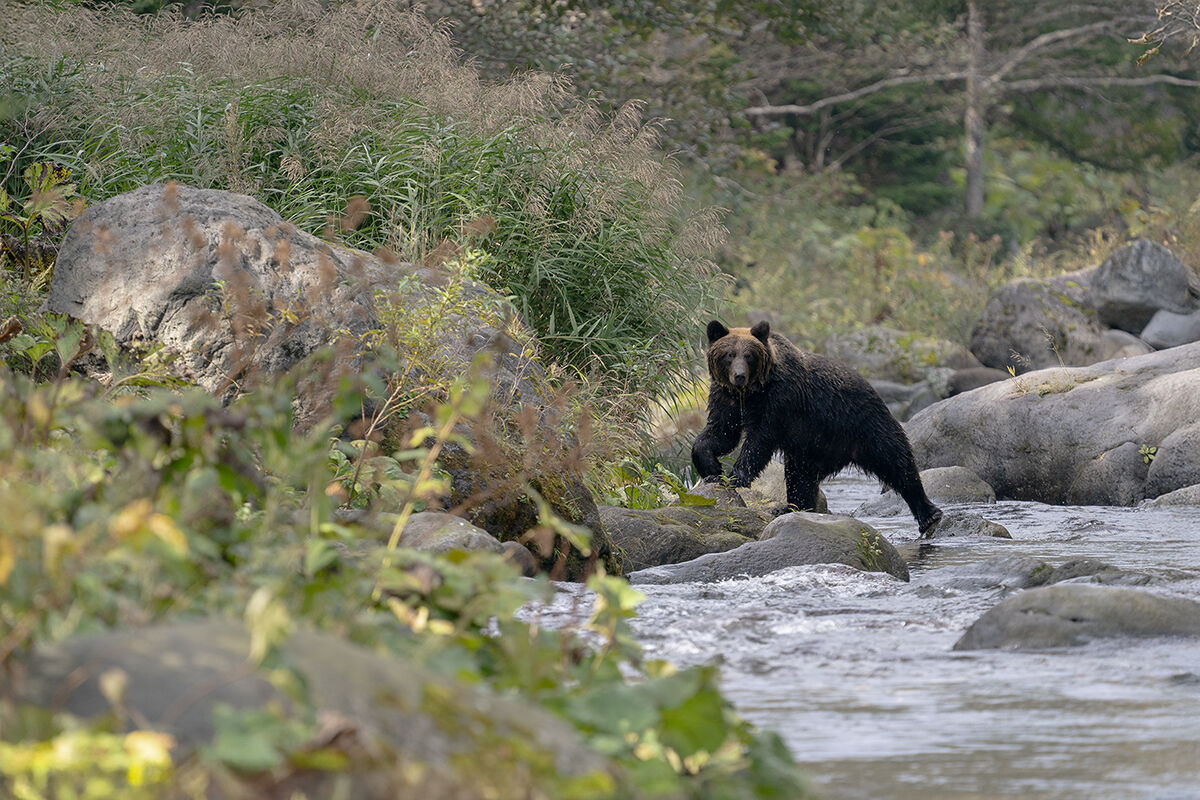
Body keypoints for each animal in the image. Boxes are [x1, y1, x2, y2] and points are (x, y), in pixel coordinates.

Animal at [691, 319, 943, 535]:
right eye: (729, 354)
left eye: (749, 355)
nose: (739, 376)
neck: (750, 393)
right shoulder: (726, 398)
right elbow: (721, 432)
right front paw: (711, 468)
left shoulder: (779, 400)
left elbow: (758, 440)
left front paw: (734, 476)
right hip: (810, 445)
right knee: (800, 477)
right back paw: (790, 508)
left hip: (865, 425)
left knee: (897, 463)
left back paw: (929, 515)